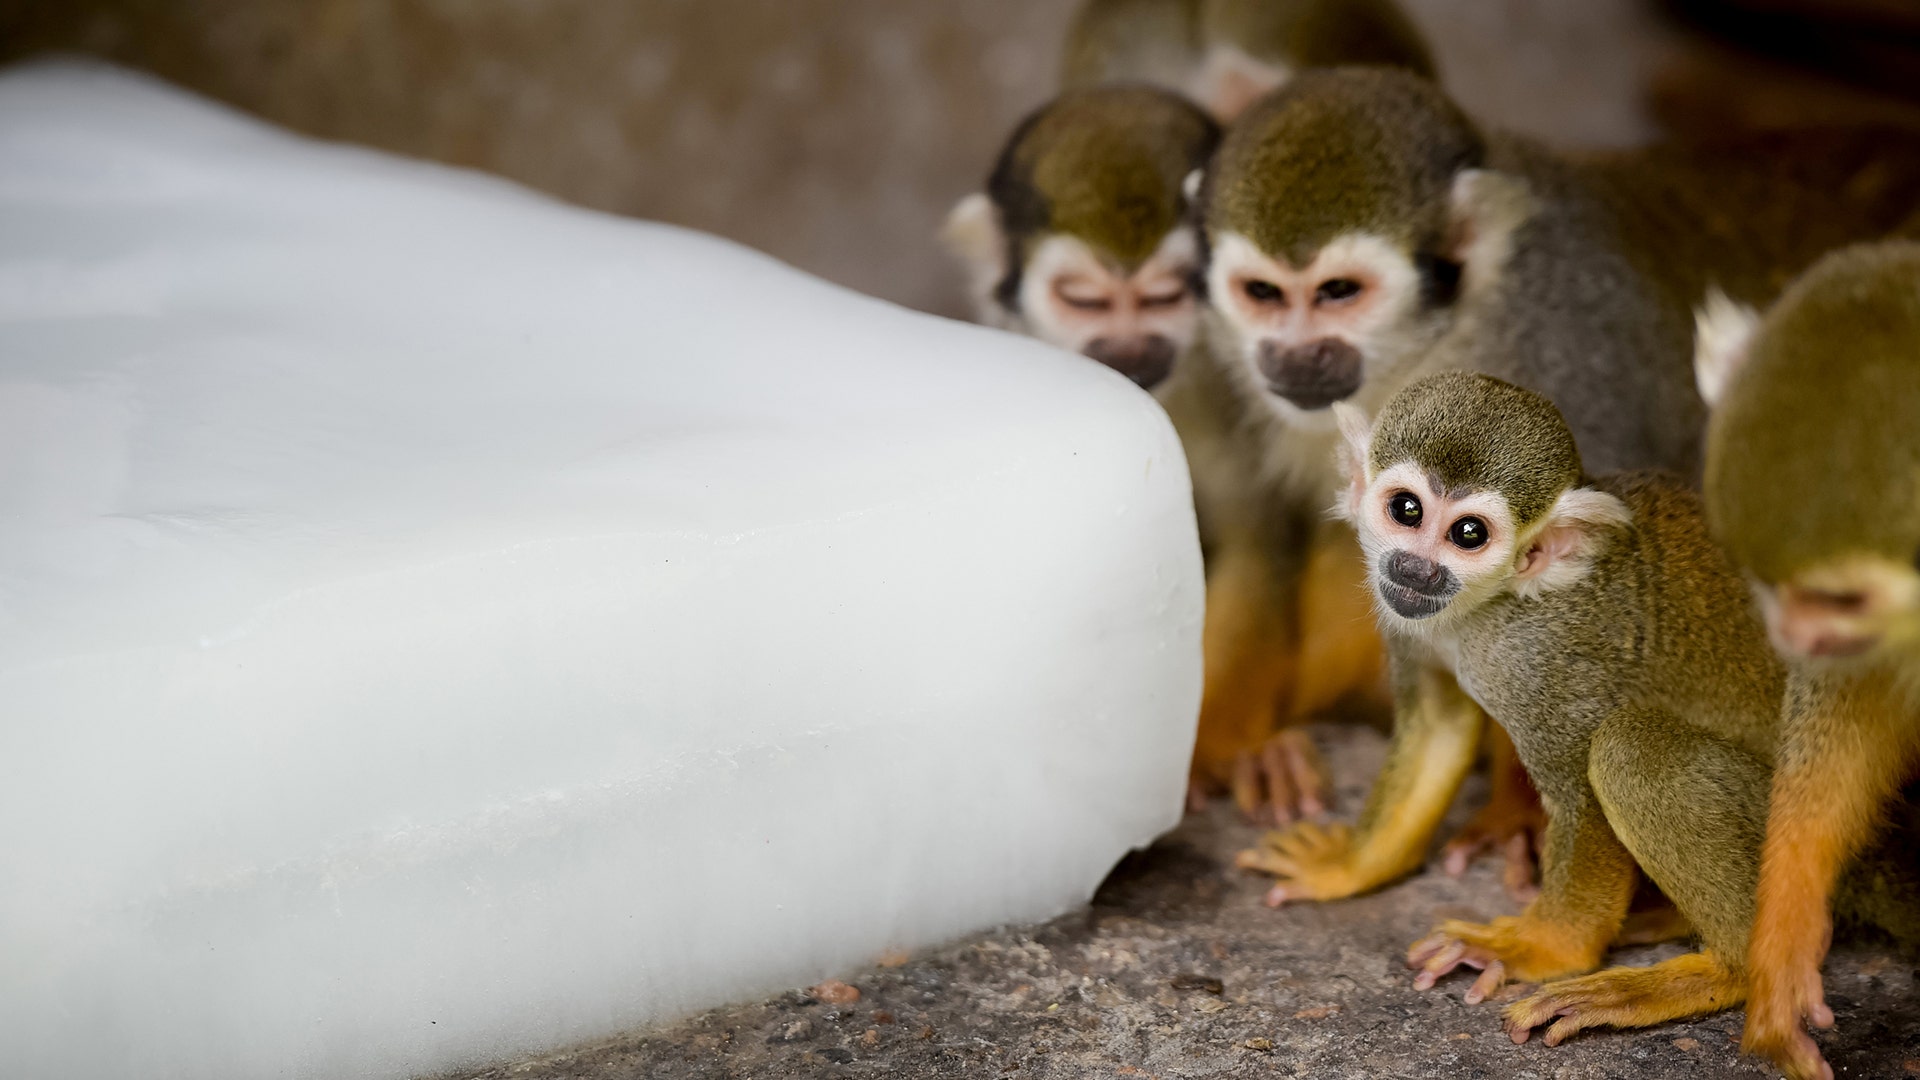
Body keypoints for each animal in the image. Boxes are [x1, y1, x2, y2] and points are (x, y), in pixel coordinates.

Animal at [1213, 67, 1920, 903]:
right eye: (1262, 293)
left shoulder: (1573, 354)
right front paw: (1240, 743)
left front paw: (1513, 814)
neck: (1451, 332)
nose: (1291, 358)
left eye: (1337, 292)